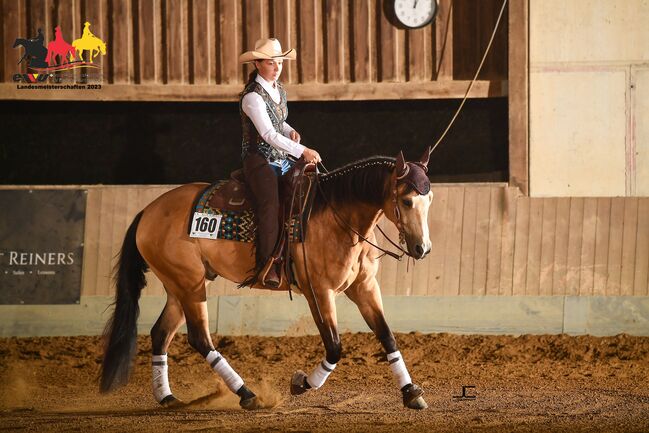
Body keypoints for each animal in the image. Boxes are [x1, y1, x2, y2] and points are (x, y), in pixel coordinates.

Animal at [98, 148, 432, 408]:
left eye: (428, 201)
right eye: (406, 201)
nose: (423, 249)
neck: (337, 217)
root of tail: (148, 211)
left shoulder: (364, 288)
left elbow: (387, 335)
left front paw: (410, 393)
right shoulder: (319, 292)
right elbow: (335, 347)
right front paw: (301, 382)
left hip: (181, 286)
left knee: (160, 333)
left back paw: (166, 397)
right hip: (188, 285)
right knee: (199, 338)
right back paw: (247, 395)